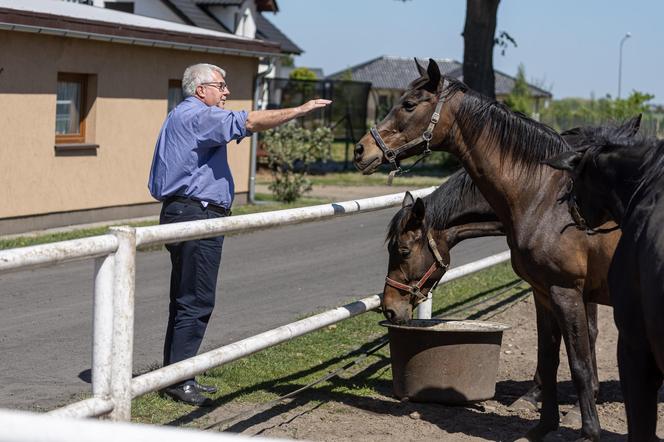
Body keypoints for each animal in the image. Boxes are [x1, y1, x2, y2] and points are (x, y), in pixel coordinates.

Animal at [352, 58, 640, 442]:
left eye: (409, 104)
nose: (361, 150)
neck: (544, 195)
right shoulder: (544, 292)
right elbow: (550, 358)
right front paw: (541, 423)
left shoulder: (568, 291)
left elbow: (578, 359)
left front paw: (586, 429)